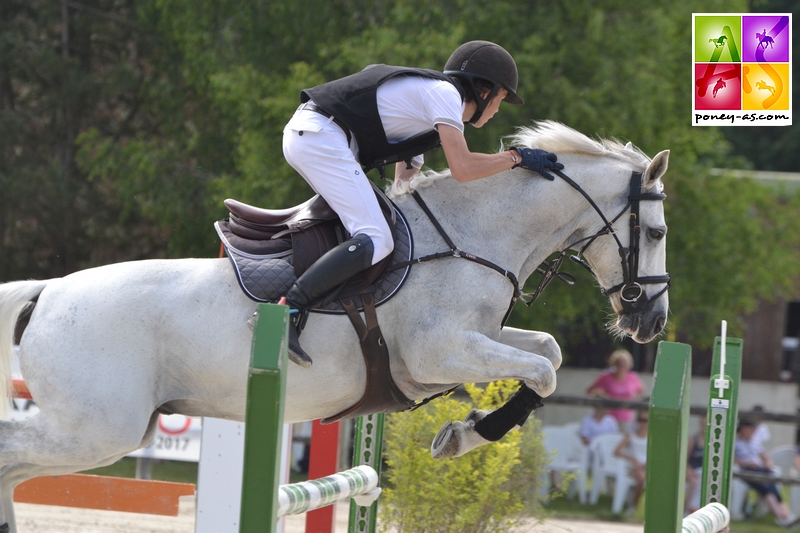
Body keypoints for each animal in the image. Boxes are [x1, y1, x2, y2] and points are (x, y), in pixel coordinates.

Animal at [0, 121, 668, 532]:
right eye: (658, 232)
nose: (651, 322)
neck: (471, 236)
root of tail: (49, 291)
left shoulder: (474, 341)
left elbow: (547, 354)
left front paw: (464, 433)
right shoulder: (436, 354)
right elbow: (542, 371)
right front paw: (469, 434)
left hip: (102, 431)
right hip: (97, 429)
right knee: (11, 453)